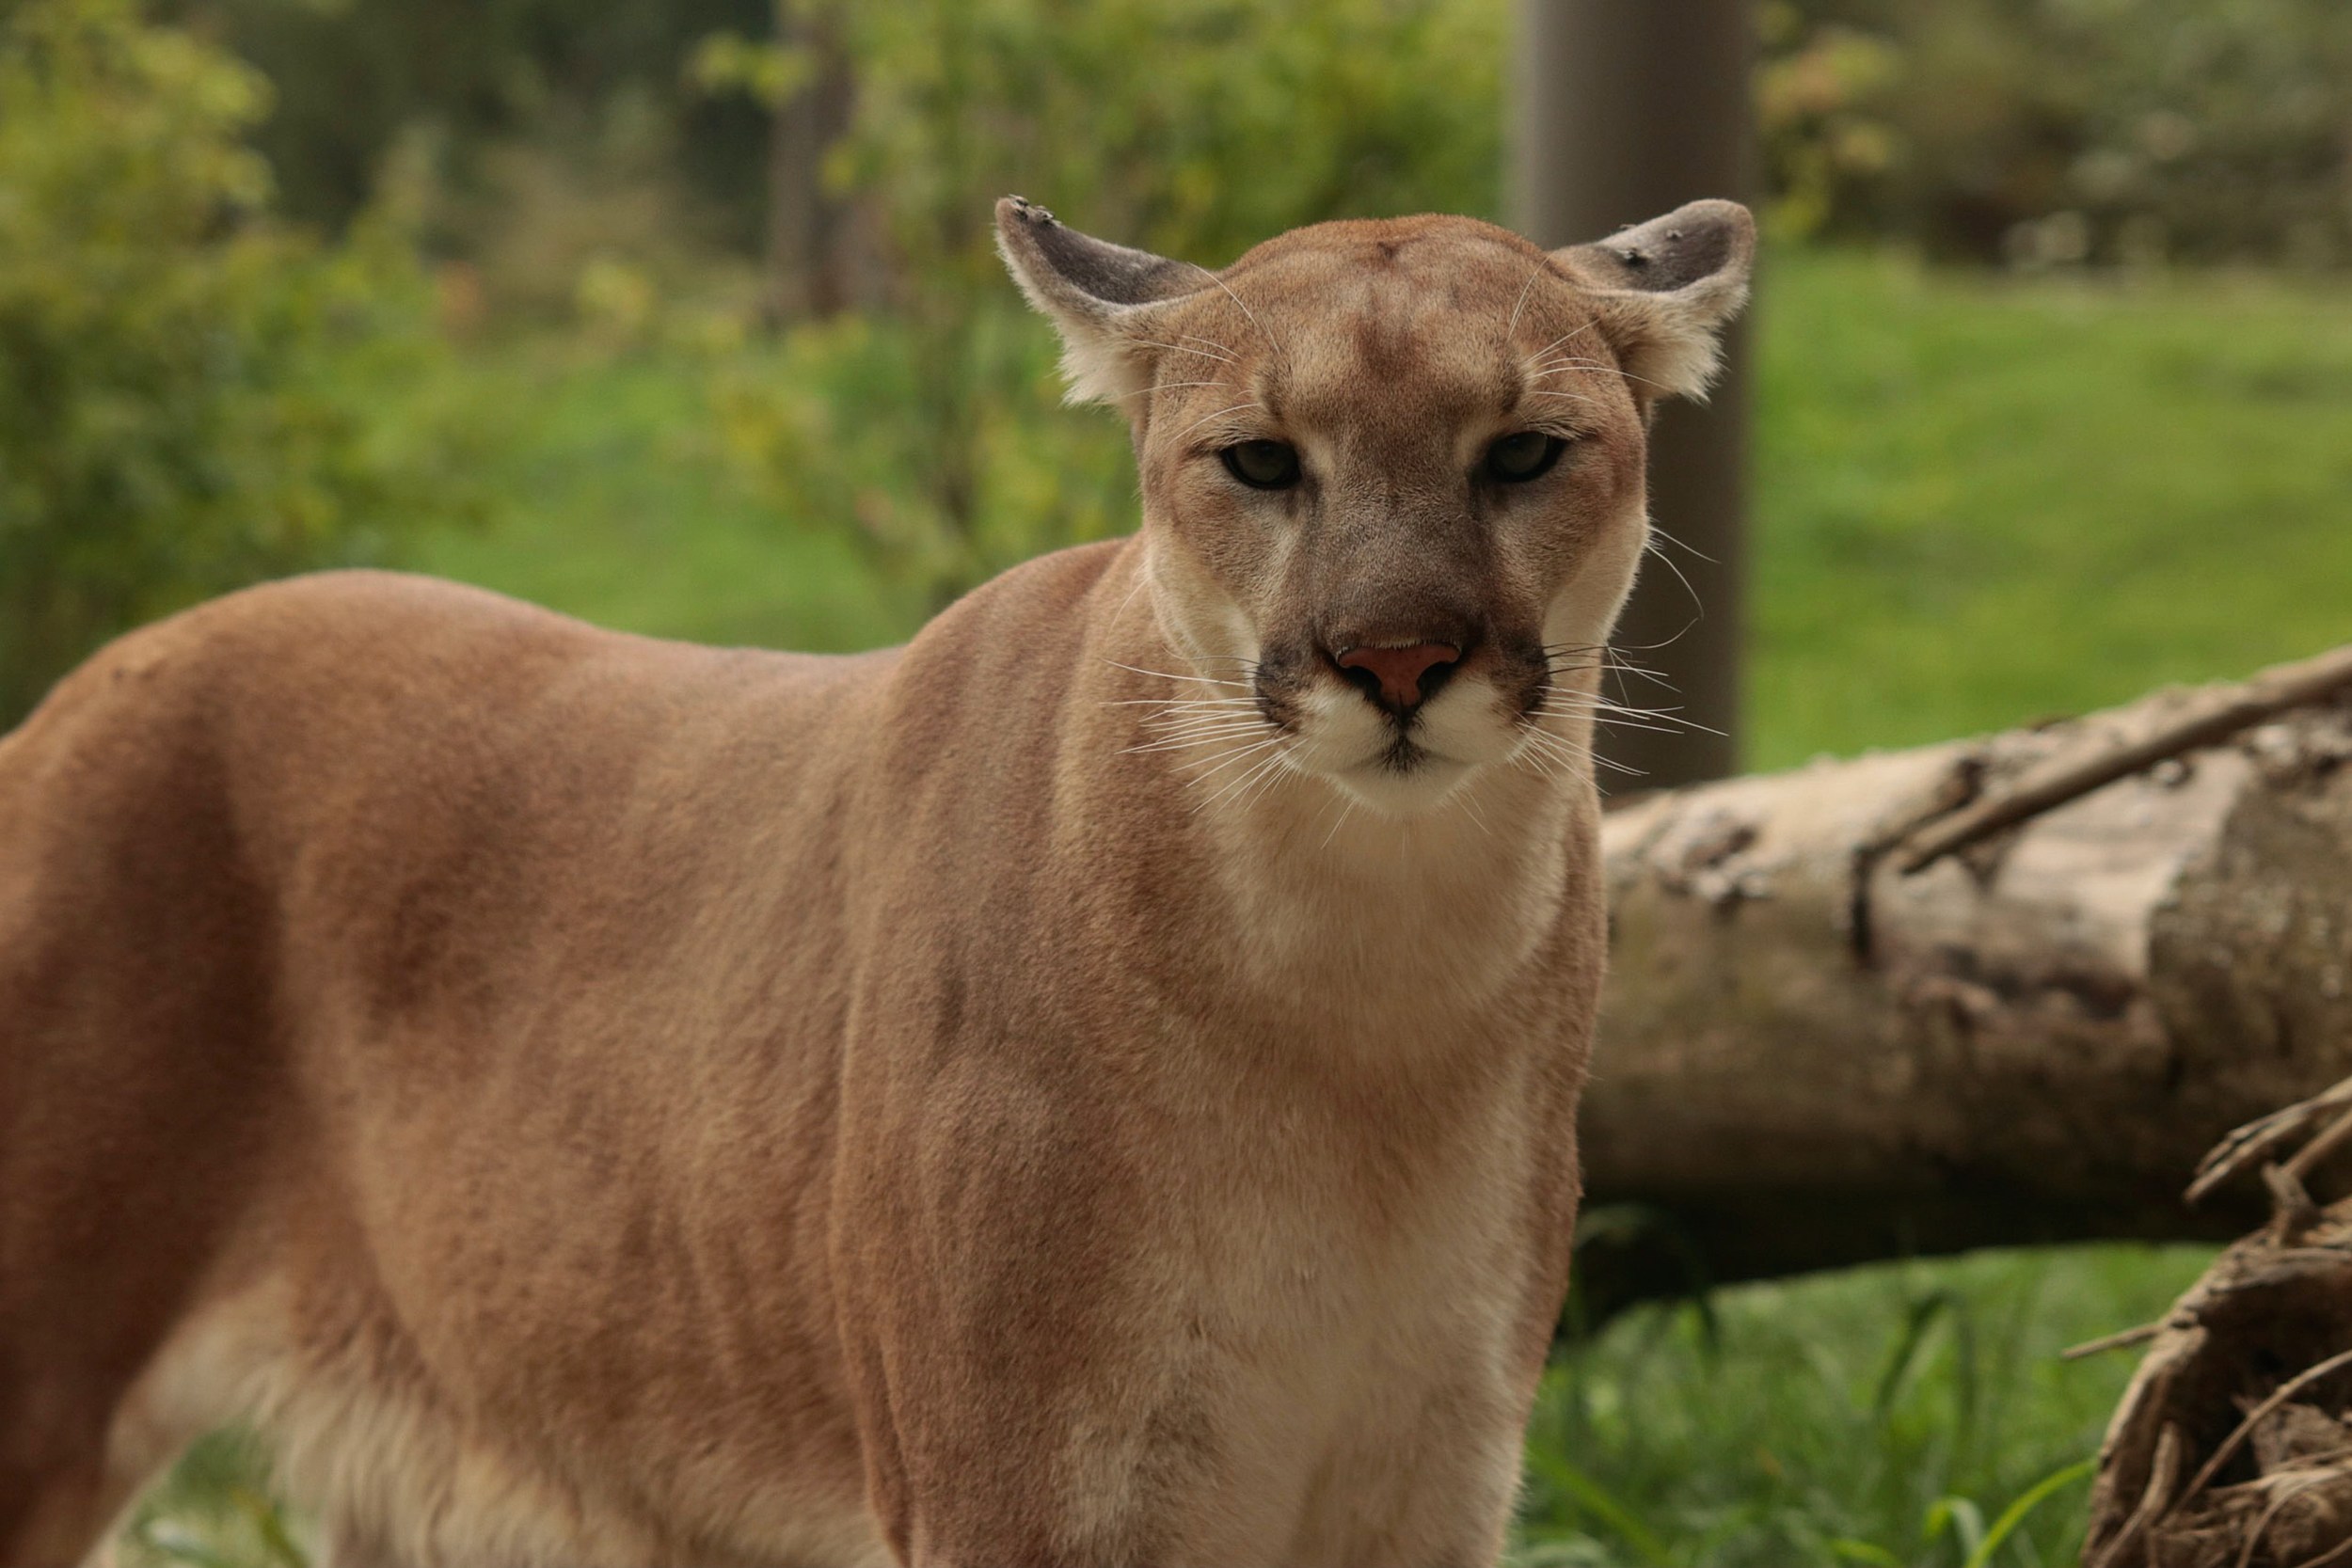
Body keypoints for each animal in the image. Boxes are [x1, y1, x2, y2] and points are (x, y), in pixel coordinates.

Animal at [4, 199, 1750, 1568]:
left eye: (1521, 452)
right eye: (1260, 461)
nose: (1392, 659)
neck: (1360, 988)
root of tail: (83, 682)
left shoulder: (1424, 1481)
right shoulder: (1020, 1492)